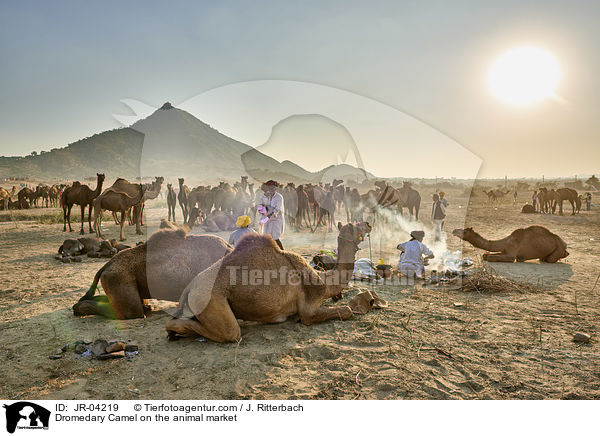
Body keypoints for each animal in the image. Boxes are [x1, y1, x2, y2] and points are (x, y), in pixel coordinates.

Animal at [164, 223, 370, 342]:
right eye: (357, 226)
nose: (369, 224)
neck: (325, 280)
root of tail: (190, 287)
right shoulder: (309, 308)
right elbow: (346, 310)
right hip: (208, 299)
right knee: (231, 332)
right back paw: (173, 331)